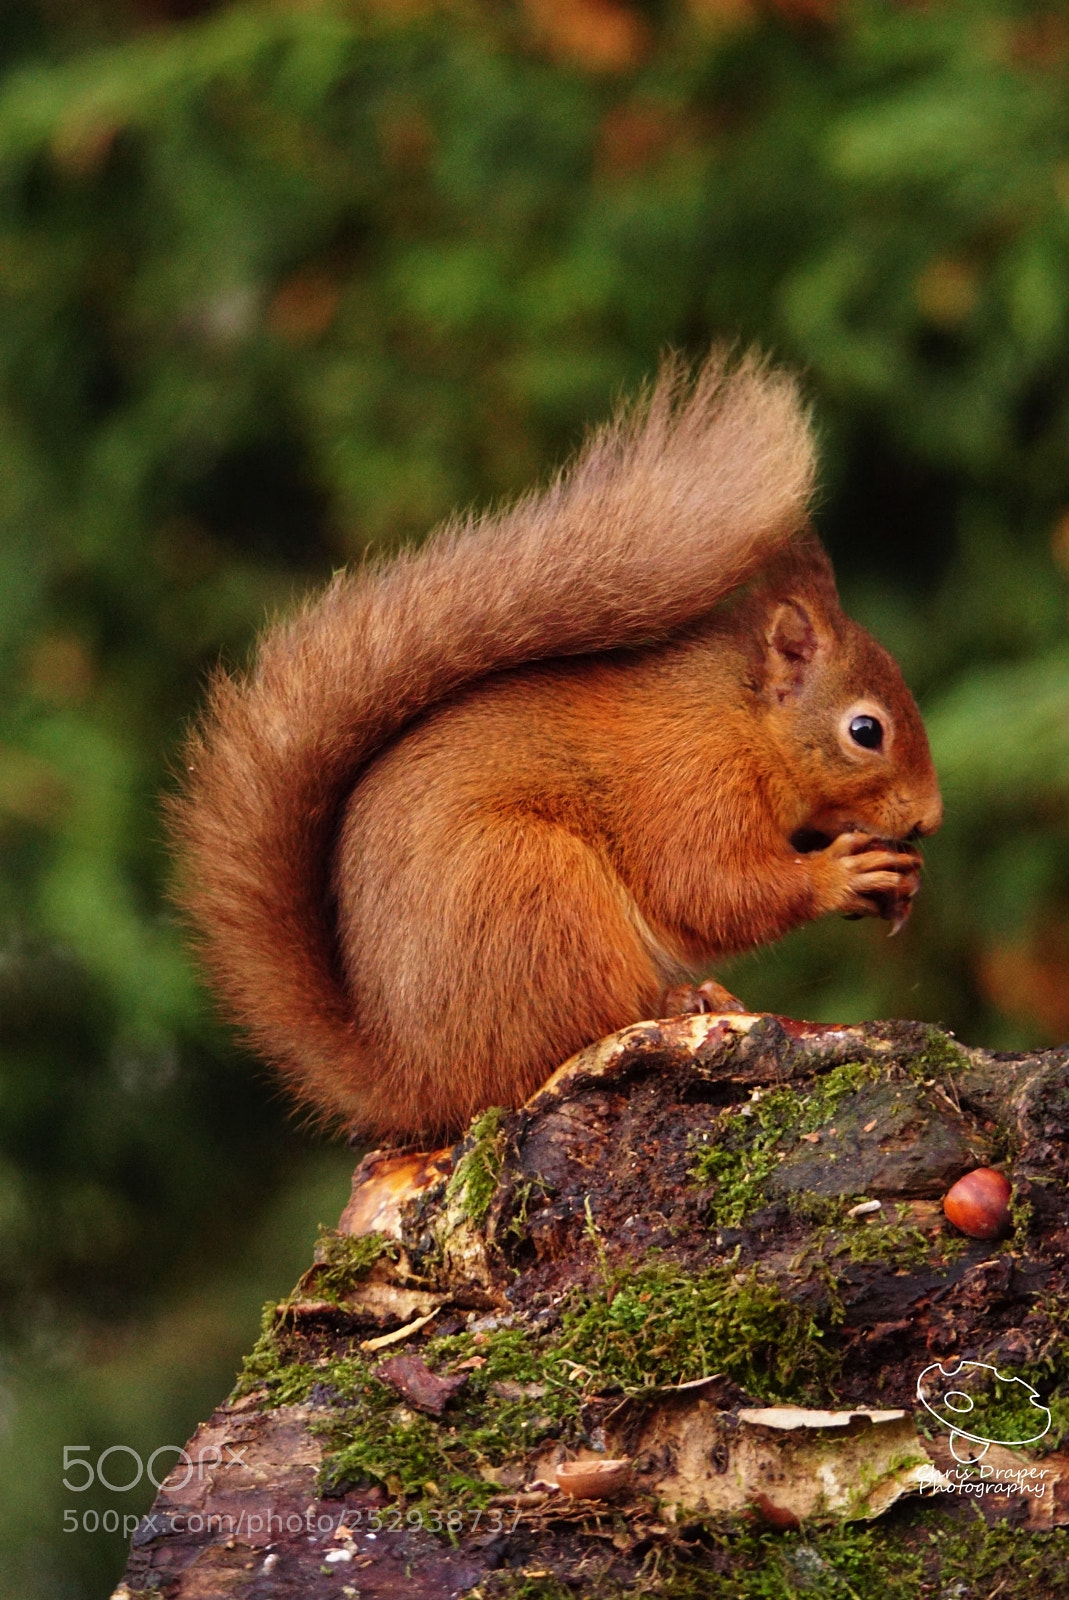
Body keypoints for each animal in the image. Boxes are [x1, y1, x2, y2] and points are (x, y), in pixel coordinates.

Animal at [171, 351, 942, 1144]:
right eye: (865, 731)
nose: (928, 819)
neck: (740, 720)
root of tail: (420, 1079)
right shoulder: (689, 781)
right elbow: (707, 888)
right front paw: (841, 873)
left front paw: (899, 879)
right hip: (532, 892)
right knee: (579, 1026)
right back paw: (675, 1003)